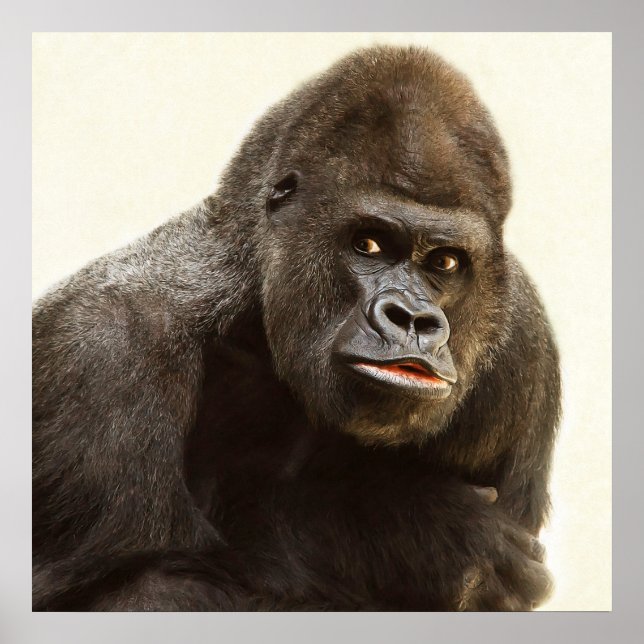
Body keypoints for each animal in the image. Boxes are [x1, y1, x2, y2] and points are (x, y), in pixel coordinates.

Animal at [32, 45, 560, 611]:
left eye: (444, 262)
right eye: (368, 244)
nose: (414, 320)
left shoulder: (524, 346)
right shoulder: (102, 348)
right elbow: (126, 589)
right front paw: (421, 534)